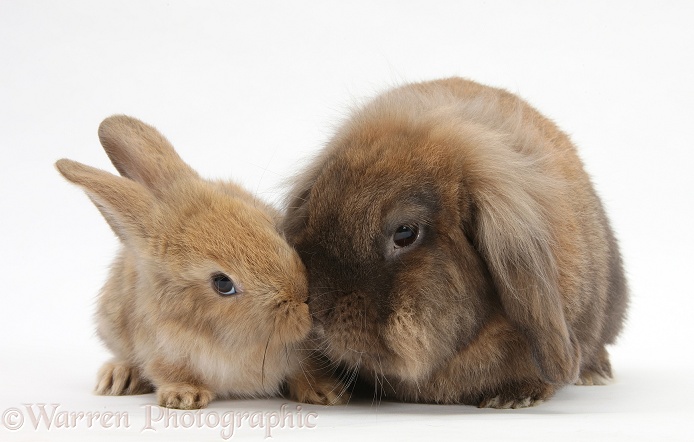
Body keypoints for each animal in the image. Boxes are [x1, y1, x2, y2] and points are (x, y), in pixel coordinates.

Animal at [55, 115, 344, 410]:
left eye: (273, 227)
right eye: (222, 284)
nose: (302, 299)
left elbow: (304, 372)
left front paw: (325, 392)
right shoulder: (162, 352)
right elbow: (170, 373)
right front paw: (184, 397)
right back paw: (117, 377)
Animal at [282, 77, 632, 410]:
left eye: (405, 233)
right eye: (314, 210)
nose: (318, 309)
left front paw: (512, 398)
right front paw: (324, 392)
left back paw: (595, 374)